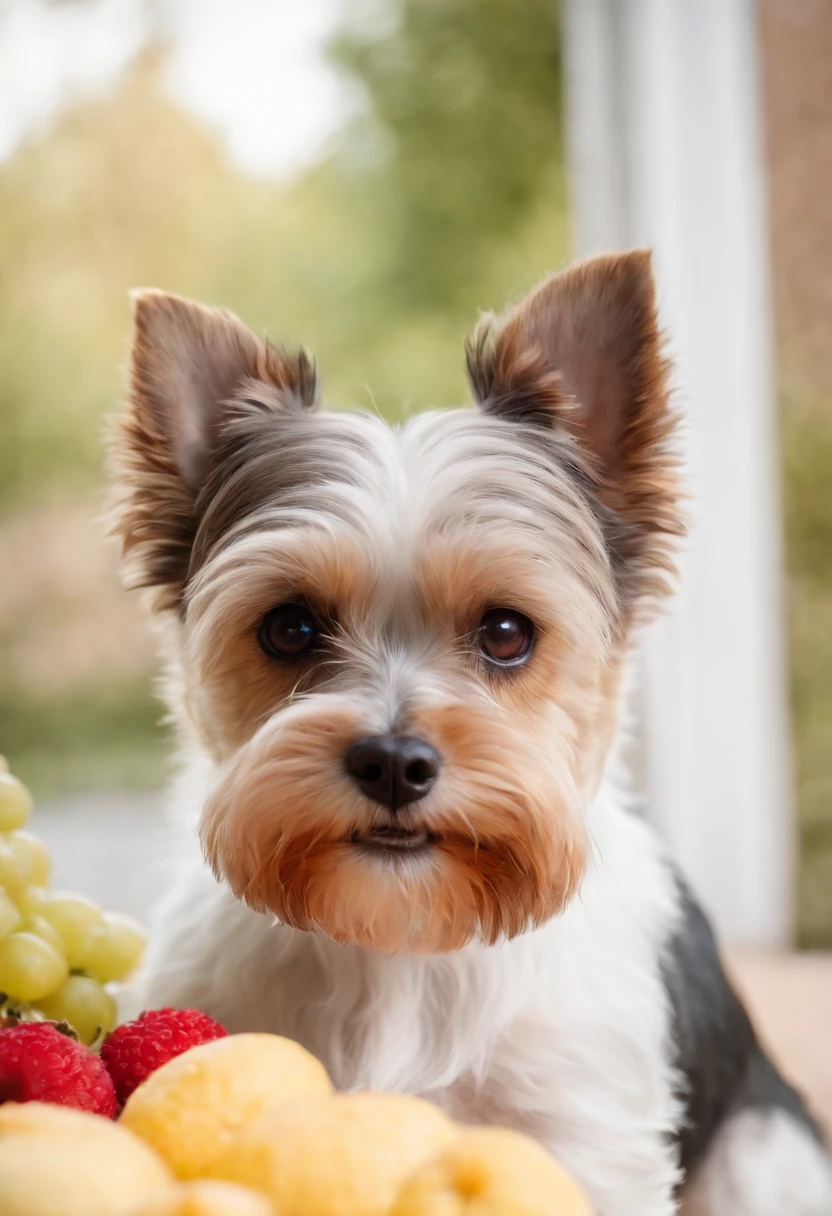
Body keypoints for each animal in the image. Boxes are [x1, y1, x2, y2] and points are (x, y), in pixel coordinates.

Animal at [110, 251, 832, 1211]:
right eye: (289, 628)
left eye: (506, 631)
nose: (392, 761)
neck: (402, 935)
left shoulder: (584, 1134)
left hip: (763, 1156)